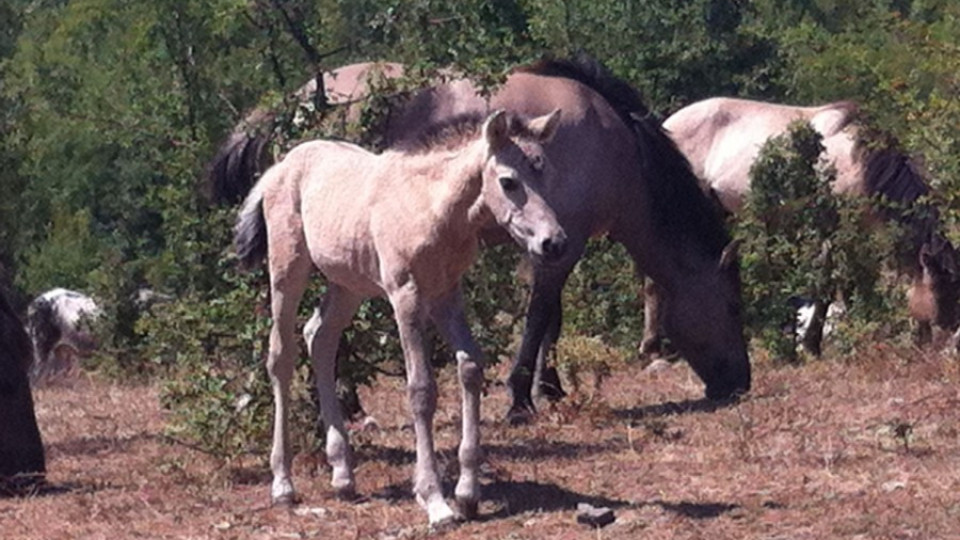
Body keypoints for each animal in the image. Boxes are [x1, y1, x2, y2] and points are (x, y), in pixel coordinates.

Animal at [208, 57, 752, 424]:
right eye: (731, 306)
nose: (740, 383)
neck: (613, 144)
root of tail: (294, 103)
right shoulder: (561, 246)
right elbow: (539, 317)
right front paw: (521, 396)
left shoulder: (552, 243)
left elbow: (550, 320)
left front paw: (549, 388)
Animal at [235, 107, 568, 524]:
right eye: (509, 181)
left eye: (546, 171)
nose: (554, 243)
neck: (433, 207)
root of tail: (278, 167)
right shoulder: (405, 295)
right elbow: (421, 388)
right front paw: (435, 500)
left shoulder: (446, 294)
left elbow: (471, 367)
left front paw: (468, 493)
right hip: (287, 270)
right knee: (281, 355)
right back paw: (283, 483)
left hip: (348, 283)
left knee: (320, 338)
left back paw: (343, 475)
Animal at [644, 96, 960, 350]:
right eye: (940, 290)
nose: (948, 338)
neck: (857, 161)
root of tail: (665, 124)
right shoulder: (829, 226)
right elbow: (827, 282)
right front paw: (812, 344)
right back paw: (653, 346)